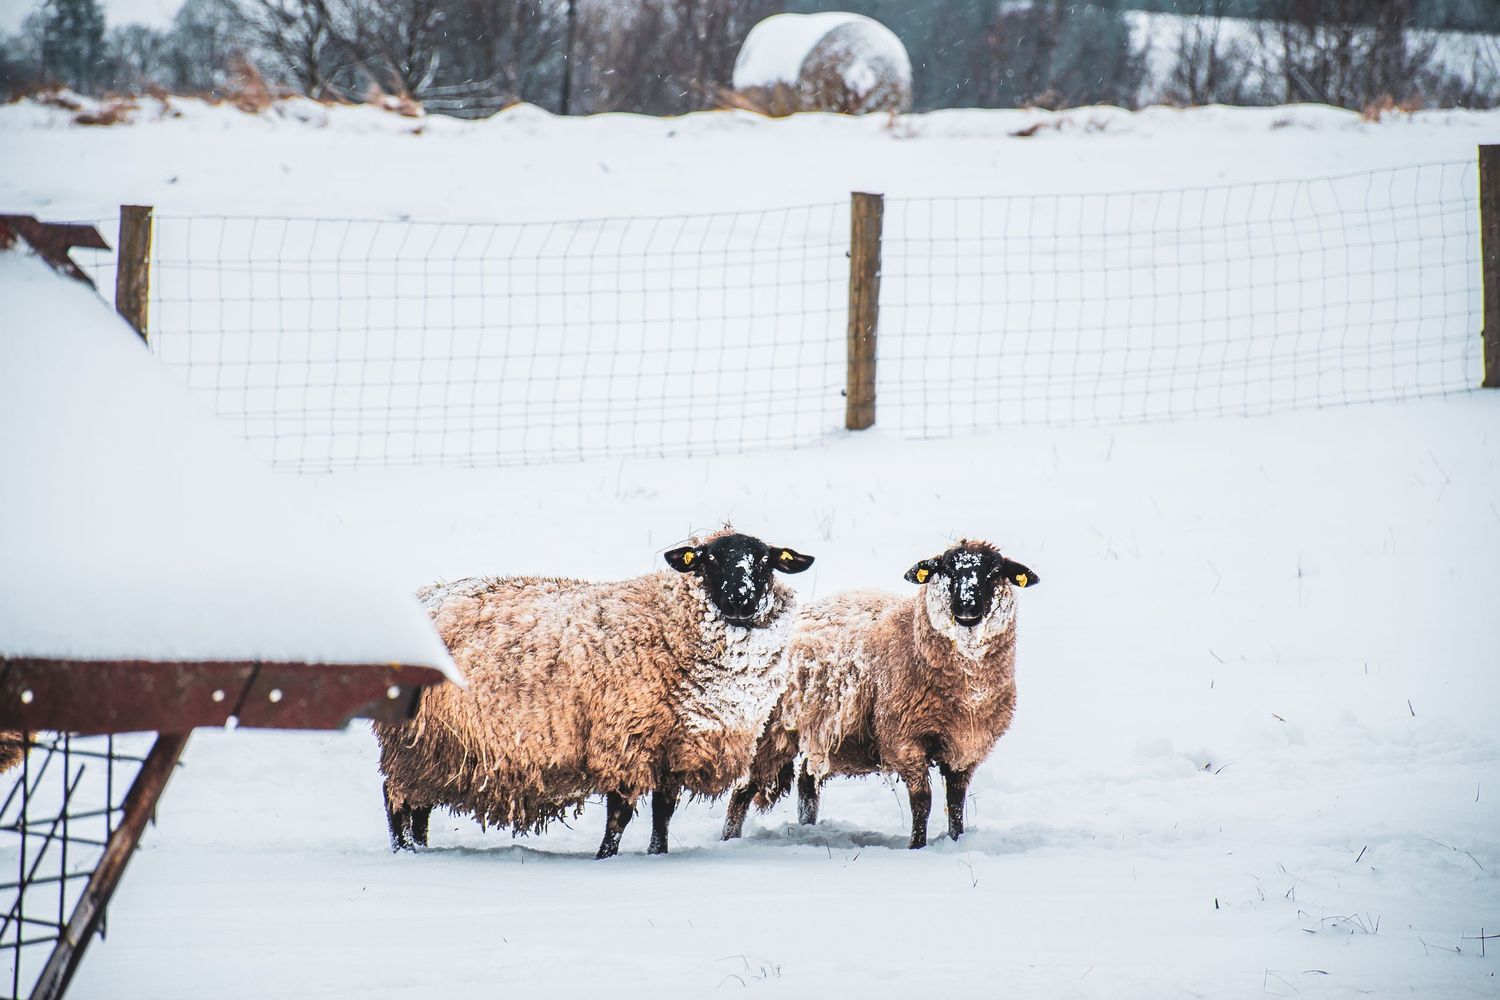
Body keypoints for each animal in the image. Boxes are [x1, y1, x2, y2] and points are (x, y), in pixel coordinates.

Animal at [374, 530, 814, 859]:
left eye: (764, 560)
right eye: (709, 559)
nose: (742, 598)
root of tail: (427, 595)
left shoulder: (671, 748)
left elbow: (663, 811)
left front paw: (658, 854)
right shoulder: (624, 739)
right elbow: (619, 815)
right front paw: (606, 859)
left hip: (437, 748)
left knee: (419, 806)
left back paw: (422, 848)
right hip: (412, 742)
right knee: (396, 800)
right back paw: (406, 854)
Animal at [721, 540, 1038, 849]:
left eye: (994, 571)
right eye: (946, 568)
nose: (967, 607)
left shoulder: (966, 747)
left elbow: (956, 803)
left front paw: (956, 842)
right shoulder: (903, 740)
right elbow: (922, 801)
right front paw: (917, 847)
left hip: (818, 732)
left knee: (807, 783)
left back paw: (807, 829)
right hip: (768, 735)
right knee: (743, 791)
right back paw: (729, 840)